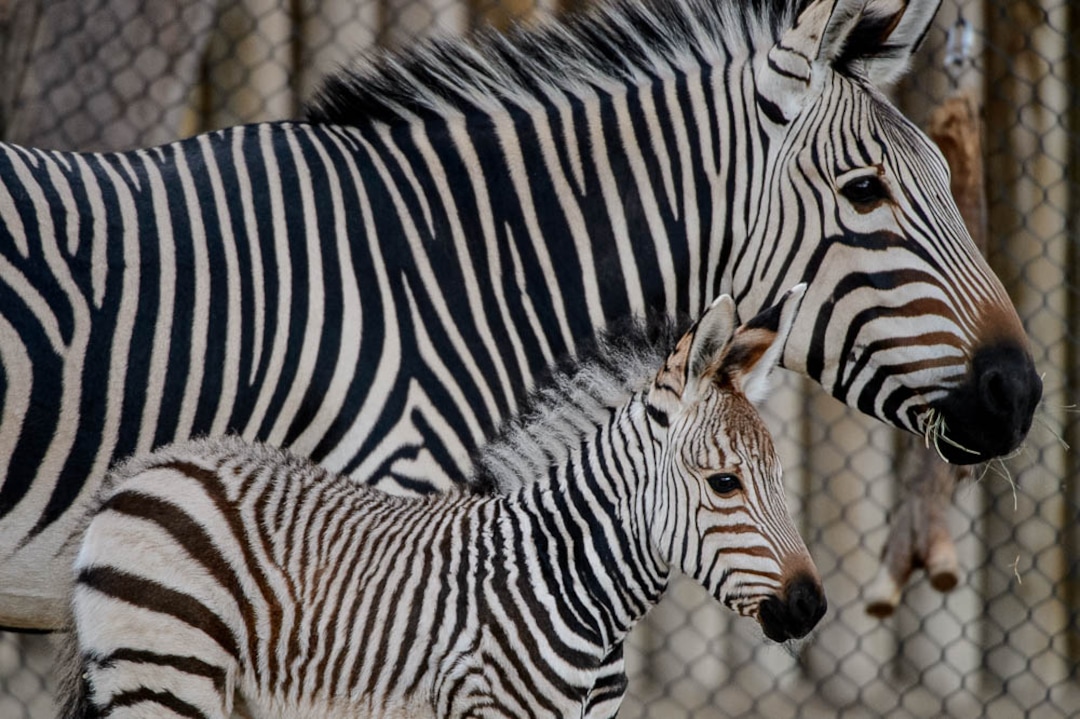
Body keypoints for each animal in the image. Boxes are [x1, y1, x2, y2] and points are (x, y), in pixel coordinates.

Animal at [60, 286, 824, 719]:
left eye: (780, 477)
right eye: (725, 484)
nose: (812, 607)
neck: (565, 578)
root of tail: (142, 469)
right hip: (166, 673)